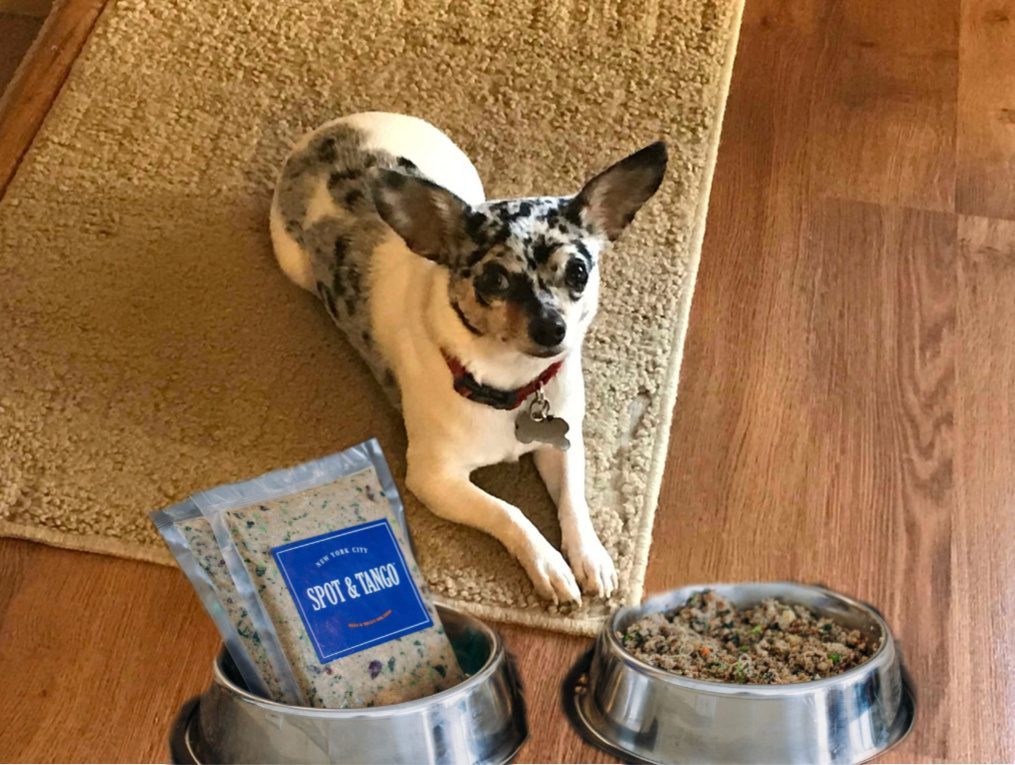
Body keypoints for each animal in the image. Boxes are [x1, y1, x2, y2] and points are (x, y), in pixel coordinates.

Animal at [272, 113, 665, 600]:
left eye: (578, 271)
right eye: (494, 280)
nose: (551, 327)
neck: (512, 383)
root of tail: (334, 129)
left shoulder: (564, 443)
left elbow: (574, 501)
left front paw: (589, 555)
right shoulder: (434, 479)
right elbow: (508, 511)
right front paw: (550, 565)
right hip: (294, 266)